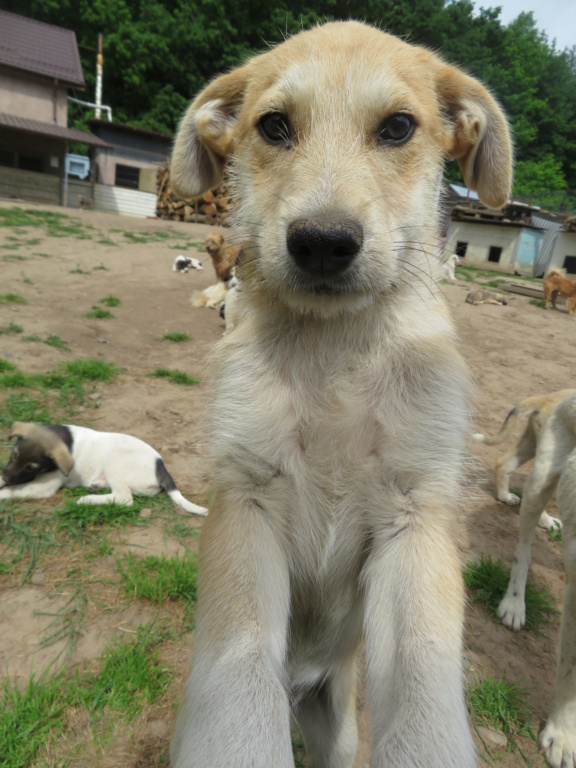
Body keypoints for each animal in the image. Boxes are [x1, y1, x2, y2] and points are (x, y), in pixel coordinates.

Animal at [0, 424, 207, 512]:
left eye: (31, 467)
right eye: (14, 455)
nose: (7, 477)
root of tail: (161, 466)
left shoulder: (43, 487)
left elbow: (14, 490)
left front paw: (3, 491)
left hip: (114, 459)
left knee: (125, 499)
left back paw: (87, 499)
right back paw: (96, 486)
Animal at [169, 19, 510, 768]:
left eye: (398, 127)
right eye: (273, 126)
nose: (323, 243)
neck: (334, 353)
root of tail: (306, 684)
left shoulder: (415, 516)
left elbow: (423, 693)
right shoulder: (247, 502)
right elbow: (240, 683)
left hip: (338, 726)